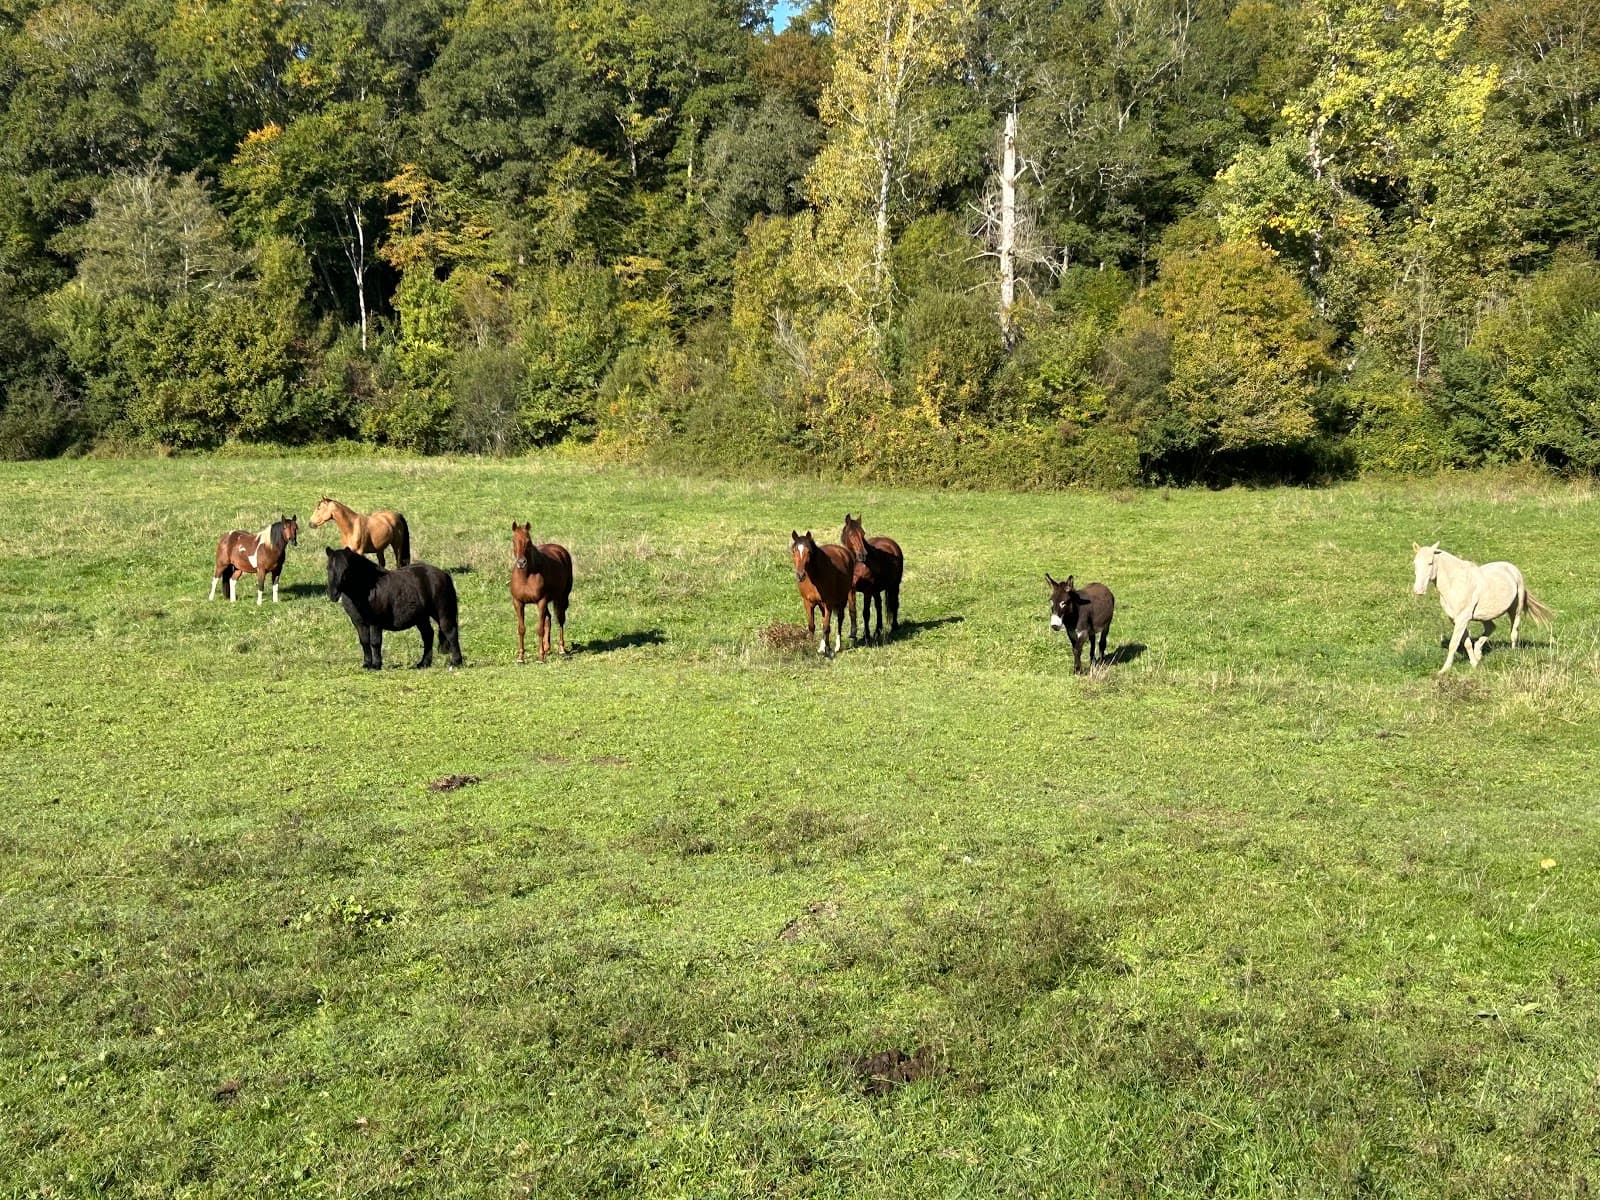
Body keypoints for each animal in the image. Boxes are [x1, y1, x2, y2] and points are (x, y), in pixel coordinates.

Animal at [324, 547, 462, 671]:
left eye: (346, 569)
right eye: (328, 568)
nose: (333, 594)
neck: (366, 589)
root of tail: (444, 574)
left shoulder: (375, 623)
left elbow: (375, 642)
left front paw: (376, 665)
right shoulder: (359, 623)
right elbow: (364, 642)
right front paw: (366, 664)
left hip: (442, 614)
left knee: (450, 633)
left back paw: (455, 662)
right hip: (421, 618)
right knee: (428, 635)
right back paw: (424, 663)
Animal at [511, 522, 574, 663]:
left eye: (528, 541)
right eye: (513, 540)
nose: (521, 563)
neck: (526, 576)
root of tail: (560, 550)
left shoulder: (541, 601)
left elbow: (539, 629)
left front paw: (540, 657)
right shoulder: (518, 602)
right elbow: (521, 629)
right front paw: (520, 657)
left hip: (562, 597)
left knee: (560, 619)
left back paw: (561, 649)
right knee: (548, 618)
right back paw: (547, 648)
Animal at [840, 513, 903, 644]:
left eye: (863, 533)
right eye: (851, 534)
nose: (863, 555)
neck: (858, 565)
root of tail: (892, 543)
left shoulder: (867, 591)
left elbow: (866, 613)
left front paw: (866, 636)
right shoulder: (851, 590)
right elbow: (852, 611)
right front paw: (853, 635)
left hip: (894, 585)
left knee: (894, 603)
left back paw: (894, 626)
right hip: (877, 589)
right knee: (879, 606)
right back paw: (878, 630)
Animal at [1412, 542, 1553, 672]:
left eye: (1430, 563)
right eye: (1415, 563)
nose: (1418, 591)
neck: (1456, 583)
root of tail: (1512, 568)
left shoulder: (1463, 618)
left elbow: (1454, 644)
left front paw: (1444, 670)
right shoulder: (1456, 620)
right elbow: (1467, 643)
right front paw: (1474, 663)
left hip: (1515, 609)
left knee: (1514, 632)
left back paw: (1513, 654)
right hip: (1485, 615)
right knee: (1491, 627)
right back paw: (1478, 653)